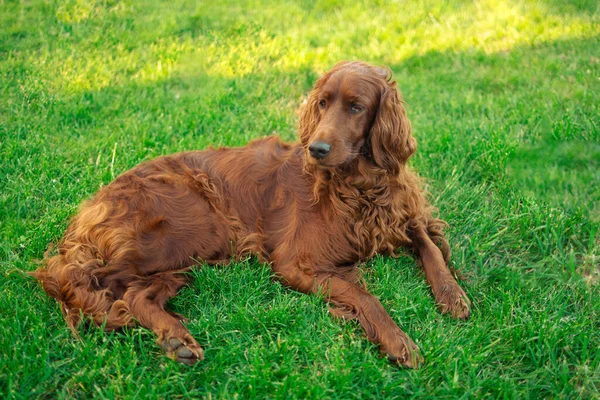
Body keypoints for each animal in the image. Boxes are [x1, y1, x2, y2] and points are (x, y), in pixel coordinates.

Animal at [32, 61, 472, 368]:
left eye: (356, 107)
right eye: (323, 103)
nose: (316, 149)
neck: (359, 186)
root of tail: (89, 209)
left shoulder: (403, 213)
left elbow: (429, 245)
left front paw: (452, 295)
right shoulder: (294, 263)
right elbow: (365, 295)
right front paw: (399, 341)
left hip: (187, 259)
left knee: (137, 295)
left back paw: (176, 340)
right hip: (191, 230)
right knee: (89, 282)